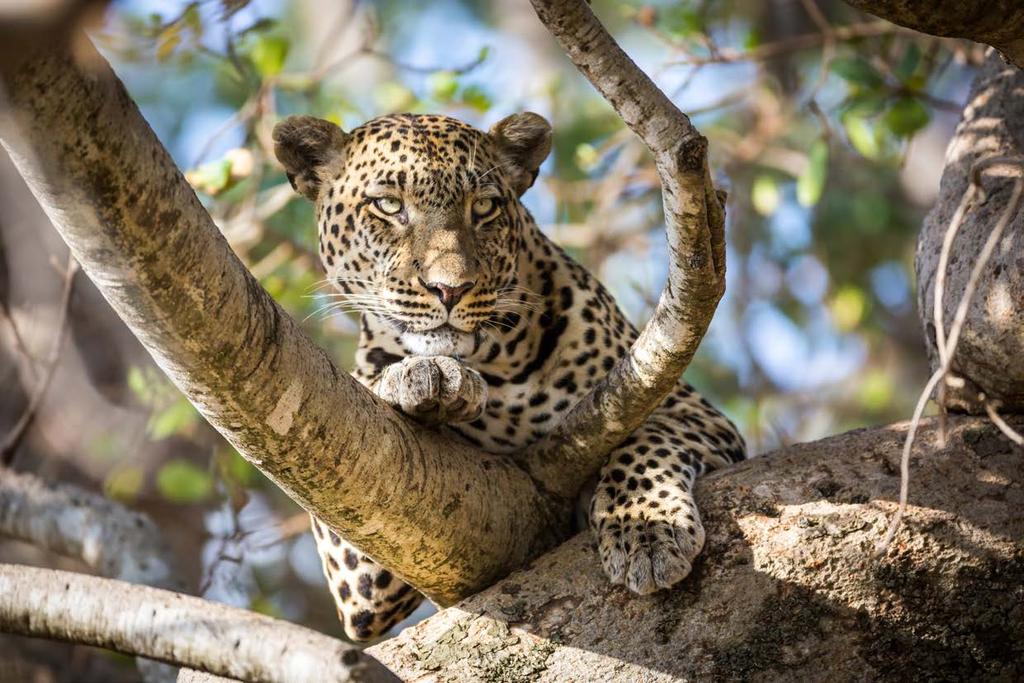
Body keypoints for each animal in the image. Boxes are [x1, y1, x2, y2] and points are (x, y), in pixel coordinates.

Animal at [272, 111, 745, 643]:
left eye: (484, 207)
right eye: (389, 205)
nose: (449, 289)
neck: (495, 367)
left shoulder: (692, 409)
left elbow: (645, 441)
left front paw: (645, 529)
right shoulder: (360, 580)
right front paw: (420, 379)